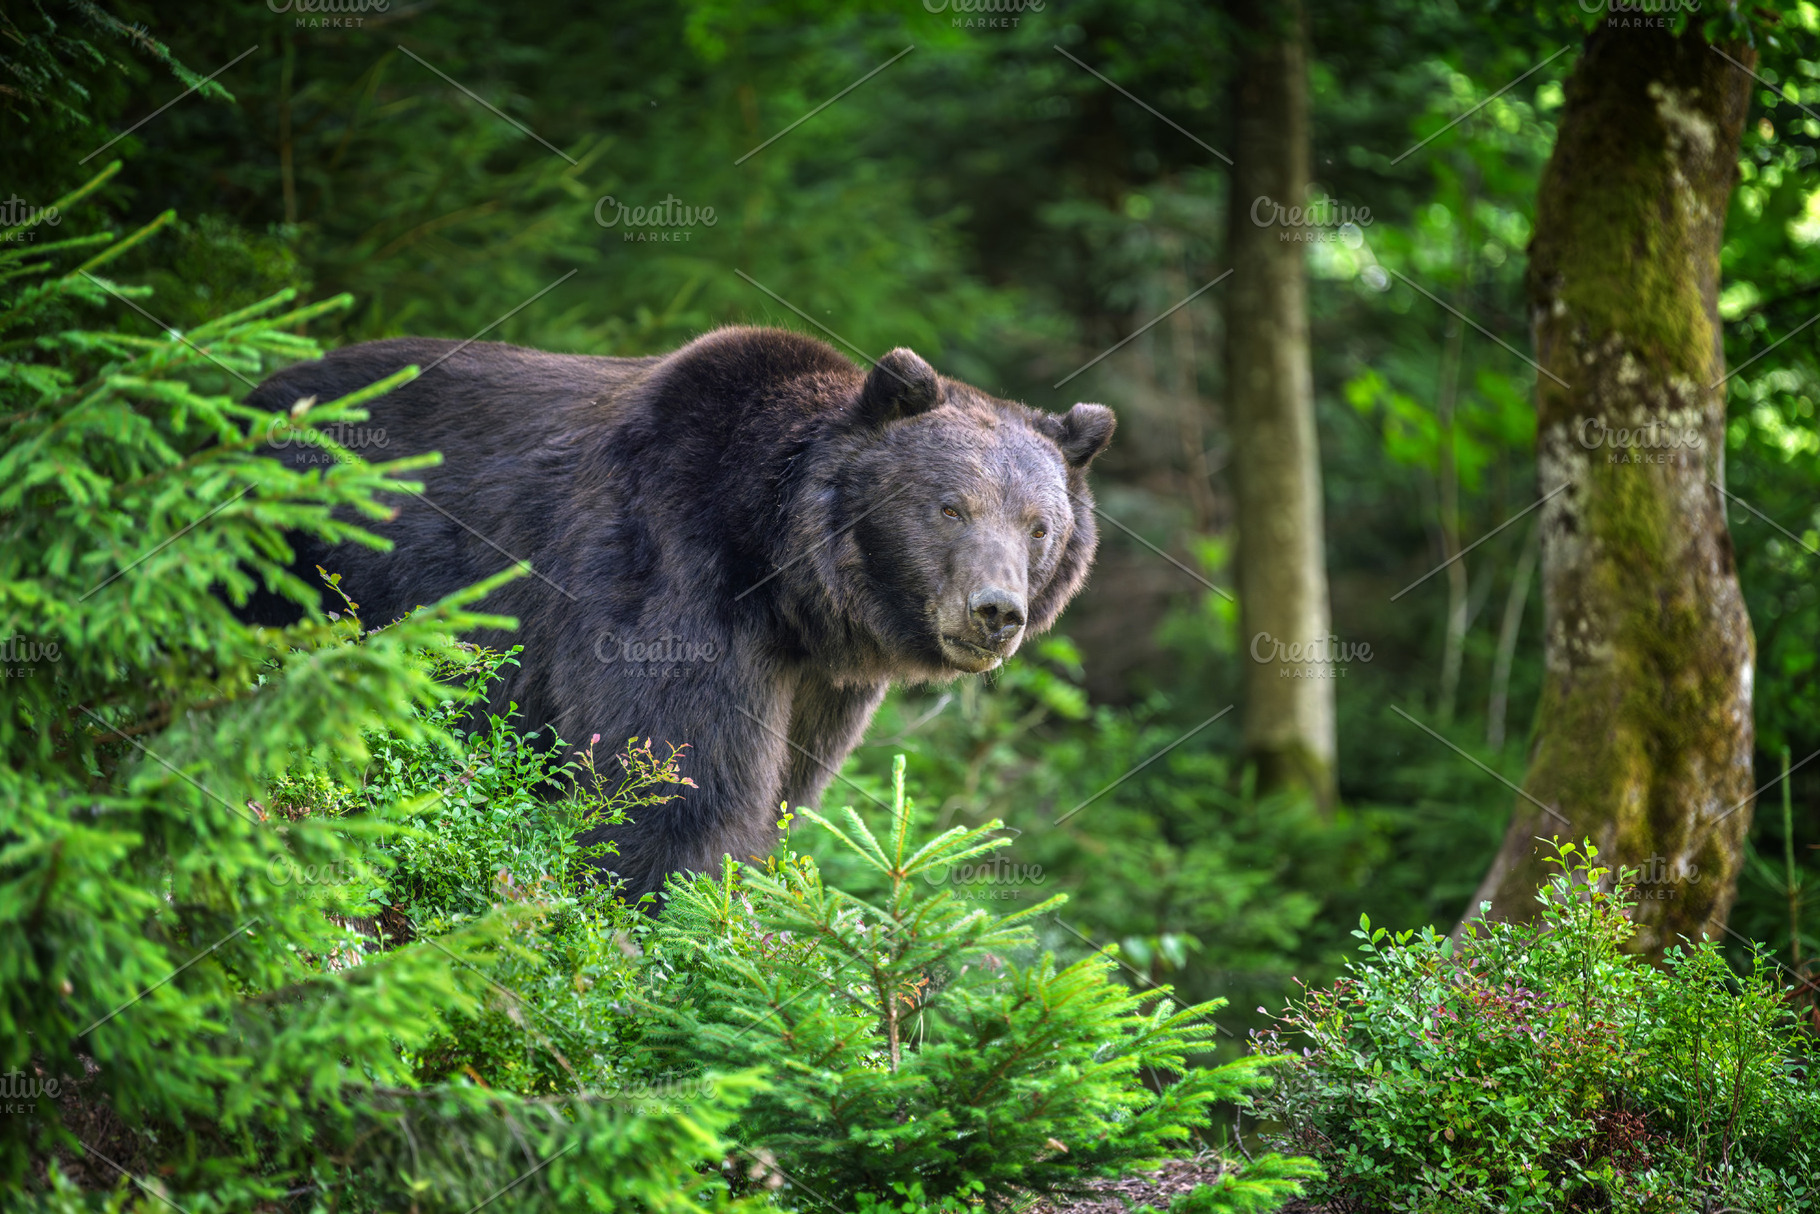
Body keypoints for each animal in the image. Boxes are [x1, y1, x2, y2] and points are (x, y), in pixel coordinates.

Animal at [242, 326, 1114, 896]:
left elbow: (784, 793)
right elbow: (673, 779)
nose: (996, 610)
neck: (782, 571)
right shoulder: (666, 560)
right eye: (950, 507)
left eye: (1039, 525)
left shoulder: (820, 685)